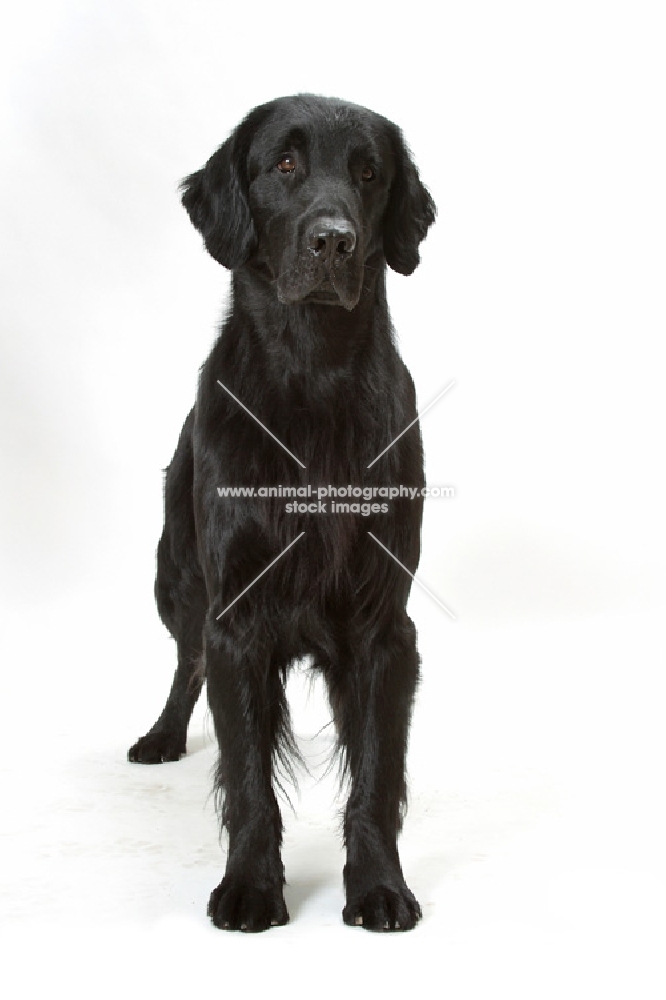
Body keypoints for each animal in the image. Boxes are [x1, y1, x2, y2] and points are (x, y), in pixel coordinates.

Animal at [128, 94, 436, 928]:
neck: (312, 374)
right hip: (177, 580)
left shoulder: (381, 623)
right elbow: (247, 780)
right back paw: (161, 737)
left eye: (369, 172)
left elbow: (375, 776)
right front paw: (249, 887)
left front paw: (379, 886)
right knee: (186, 663)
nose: (335, 240)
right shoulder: (235, 613)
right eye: (285, 163)